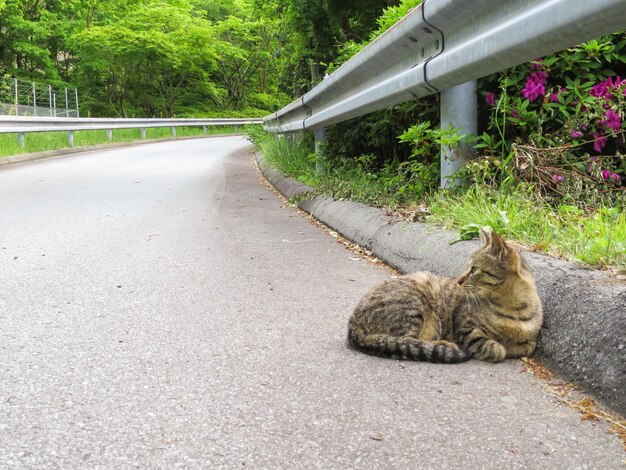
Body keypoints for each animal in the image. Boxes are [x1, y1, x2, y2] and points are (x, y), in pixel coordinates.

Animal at [346, 229, 540, 364]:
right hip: (415, 301)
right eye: (467, 267)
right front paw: (501, 347)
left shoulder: (530, 338)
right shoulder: (465, 328)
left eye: (474, 270)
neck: (512, 306)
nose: (459, 280)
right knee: (406, 340)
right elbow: (495, 349)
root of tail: (352, 324)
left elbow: (529, 346)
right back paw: (444, 345)